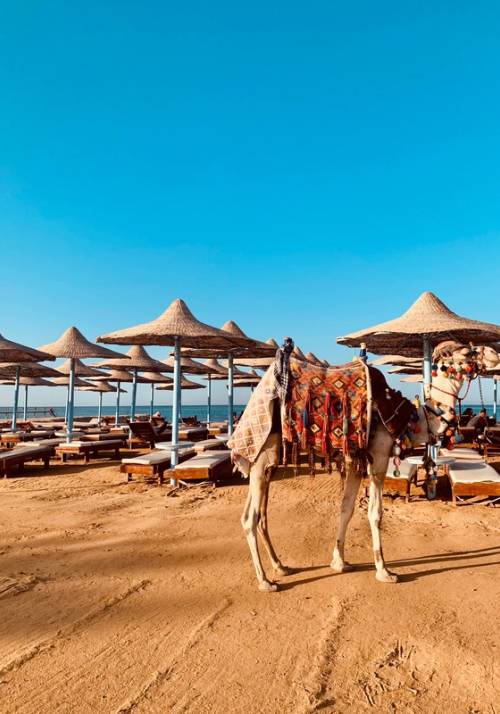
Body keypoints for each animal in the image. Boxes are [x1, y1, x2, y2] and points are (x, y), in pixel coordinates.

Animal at [232, 349, 474, 593]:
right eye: (459, 357)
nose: (480, 356)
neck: (411, 420)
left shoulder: (354, 463)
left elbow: (346, 509)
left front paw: (339, 562)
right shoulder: (378, 457)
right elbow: (375, 513)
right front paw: (384, 571)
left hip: (267, 462)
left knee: (259, 516)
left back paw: (281, 566)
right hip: (262, 454)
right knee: (250, 518)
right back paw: (265, 581)